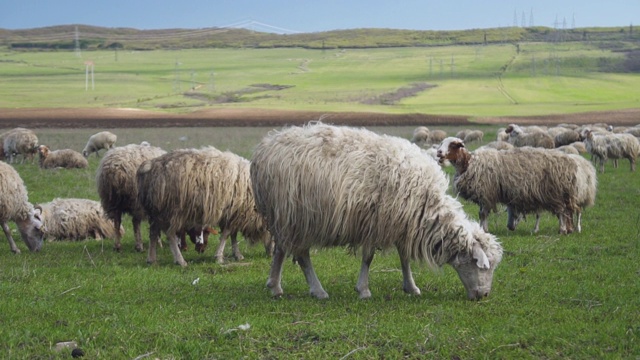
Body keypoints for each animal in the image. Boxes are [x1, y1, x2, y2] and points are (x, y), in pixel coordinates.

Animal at [138, 146, 270, 268]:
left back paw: (151, 259)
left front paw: (237, 254)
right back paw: (180, 261)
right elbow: (226, 235)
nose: (270, 254)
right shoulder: (233, 212)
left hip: (156, 211)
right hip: (172, 210)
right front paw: (219, 257)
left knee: (153, 233)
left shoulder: (234, 214)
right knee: (170, 235)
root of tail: (149, 166)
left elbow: (232, 235)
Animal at [248, 124, 502, 300]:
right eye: (480, 264)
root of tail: (264, 150)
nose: (483, 296)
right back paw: (318, 290)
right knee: (302, 256)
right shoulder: (376, 221)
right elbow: (368, 258)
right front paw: (364, 290)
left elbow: (404, 258)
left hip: (283, 216)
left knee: (280, 250)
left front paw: (411, 287)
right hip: (299, 217)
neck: (426, 205)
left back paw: (275, 286)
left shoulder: (401, 223)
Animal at [438, 137, 584, 233]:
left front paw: (484, 229)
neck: (468, 163)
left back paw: (562, 229)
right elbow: (481, 214)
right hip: (562, 193)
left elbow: (483, 214)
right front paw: (482, 228)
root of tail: (570, 162)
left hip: (556, 192)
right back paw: (568, 229)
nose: (439, 152)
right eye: (442, 143)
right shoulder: (483, 194)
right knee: (566, 211)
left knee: (562, 211)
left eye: (453, 144)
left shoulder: (486, 193)